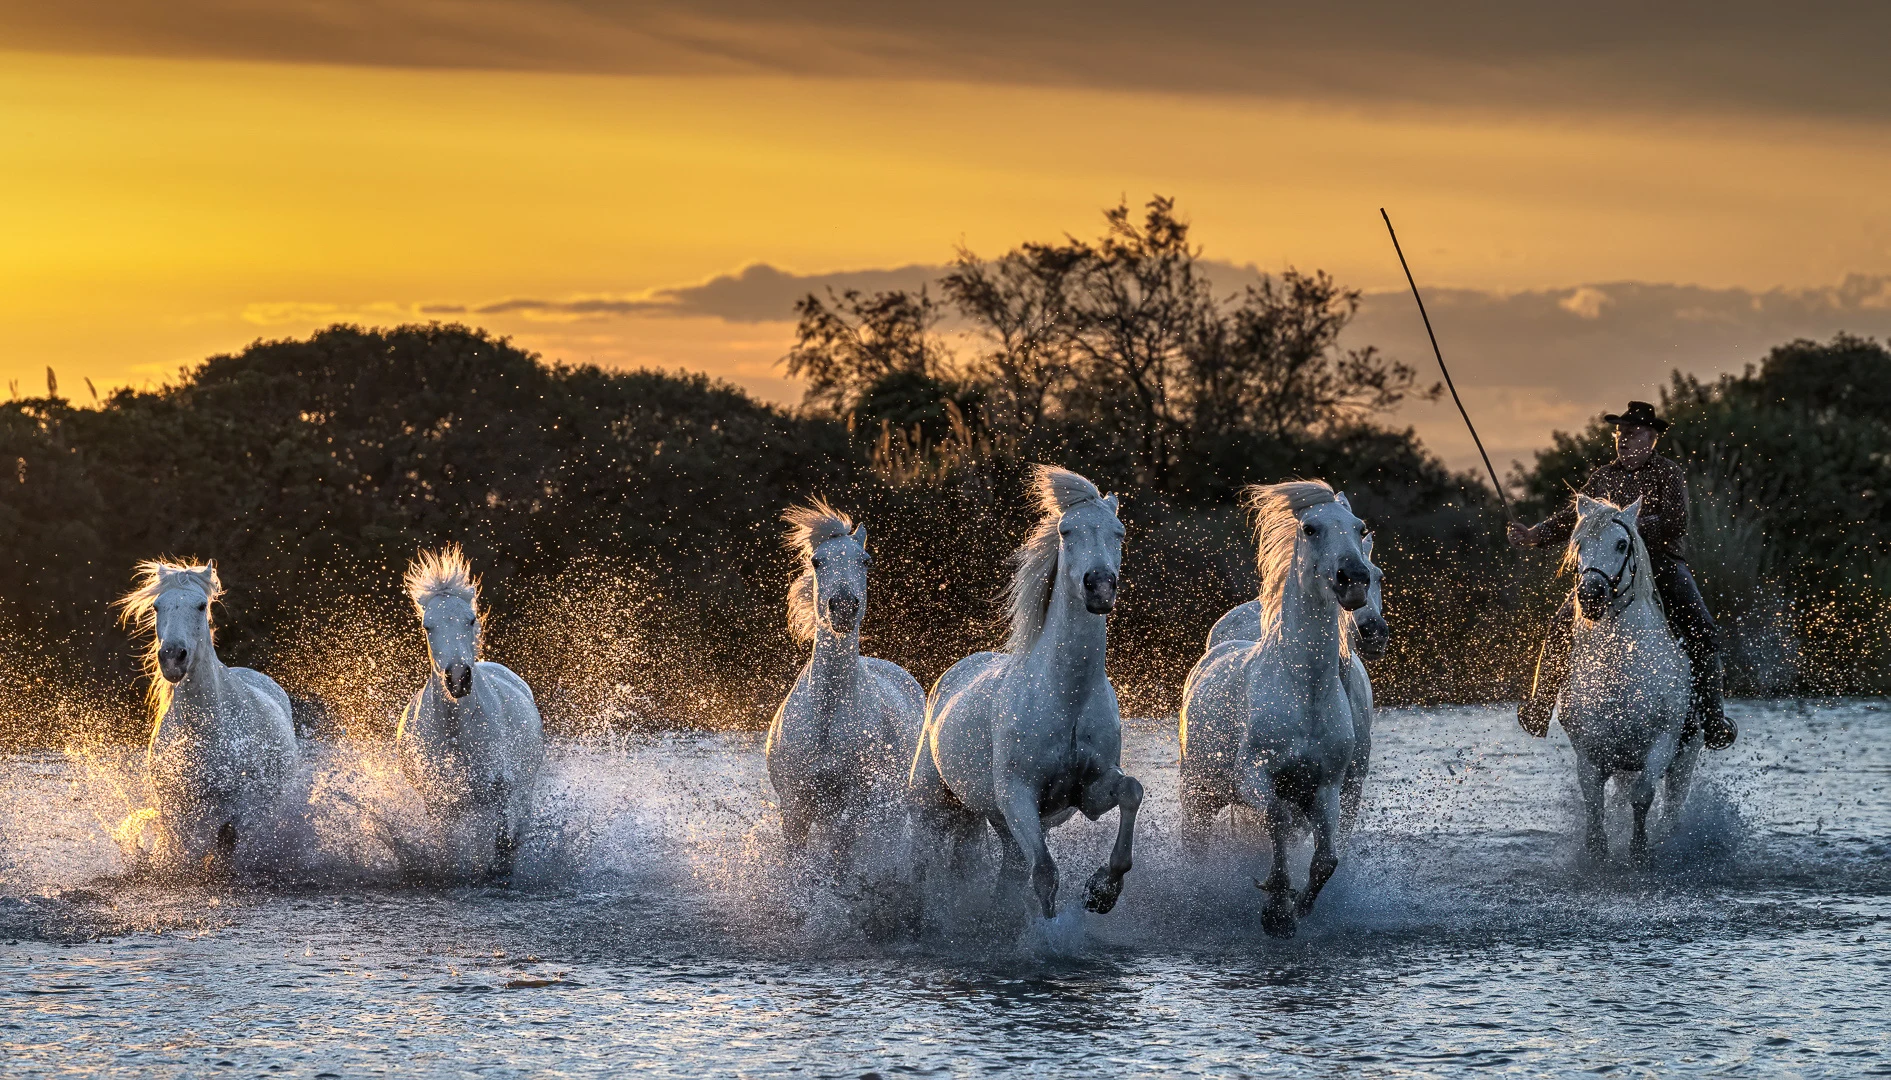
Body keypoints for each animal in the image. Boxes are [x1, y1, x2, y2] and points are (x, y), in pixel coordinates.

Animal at [113, 560, 298, 873]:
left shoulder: (239, 812)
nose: (173, 657)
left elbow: (225, 848)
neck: (202, 731)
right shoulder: (178, 811)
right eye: (157, 606)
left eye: (201, 605)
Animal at [395, 546, 544, 882]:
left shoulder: (501, 789)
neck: (455, 732)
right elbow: (451, 850)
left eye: (470, 619)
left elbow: (503, 843)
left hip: (524, 789)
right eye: (427, 626)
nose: (459, 677)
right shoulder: (440, 802)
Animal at [765, 501, 926, 862]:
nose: (842, 607)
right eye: (816, 561)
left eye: (865, 560)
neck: (827, 713)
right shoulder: (794, 809)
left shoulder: (851, 809)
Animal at [909, 466, 1143, 921]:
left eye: (1119, 532)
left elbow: (1131, 791)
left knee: (1007, 870)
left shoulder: (1089, 792)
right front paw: (1048, 932)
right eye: (1066, 531)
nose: (1100, 587)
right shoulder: (1018, 795)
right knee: (926, 863)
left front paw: (1101, 891)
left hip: (998, 822)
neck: (1066, 696)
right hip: (935, 807)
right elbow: (1046, 877)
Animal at [1557, 495, 1700, 863]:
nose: (1591, 594)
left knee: (1672, 804)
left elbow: (1643, 796)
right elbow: (1594, 802)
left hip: (1685, 758)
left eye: (1622, 544)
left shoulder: (1661, 745)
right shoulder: (1590, 752)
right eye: (1579, 545)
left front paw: (1639, 851)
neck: (1619, 669)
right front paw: (1597, 851)